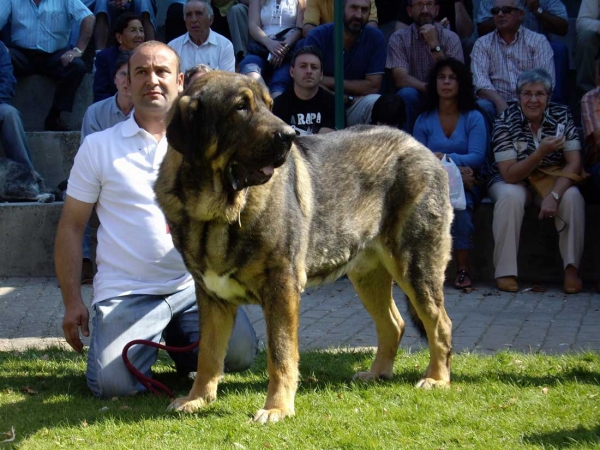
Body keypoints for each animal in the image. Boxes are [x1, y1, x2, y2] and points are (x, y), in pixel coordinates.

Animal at [155, 70, 454, 422]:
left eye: (269, 105)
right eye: (241, 107)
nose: (288, 135)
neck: (214, 212)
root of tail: (421, 148)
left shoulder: (281, 287)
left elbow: (280, 354)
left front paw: (276, 408)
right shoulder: (212, 296)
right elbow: (208, 354)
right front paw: (197, 399)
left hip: (414, 264)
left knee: (439, 323)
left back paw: (436, 378)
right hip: (368, 275)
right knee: (394, 324)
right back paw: (377, 372)